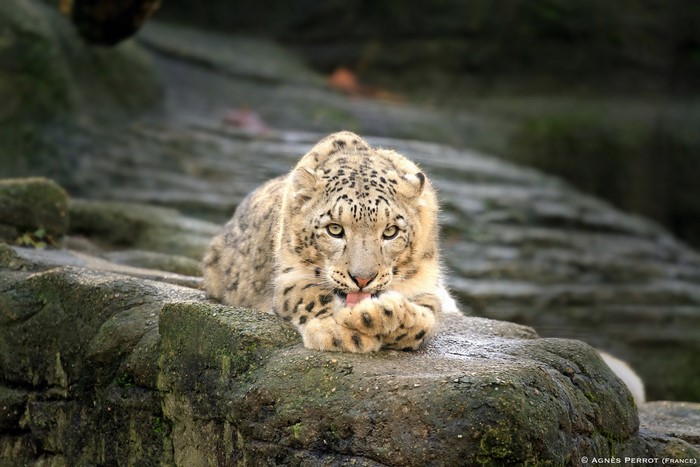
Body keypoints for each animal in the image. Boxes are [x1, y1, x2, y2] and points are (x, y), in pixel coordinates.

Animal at [202, 131, 458, 352]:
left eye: (390, 231)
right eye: (334, 229)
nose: (363, 279)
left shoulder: (425, 284)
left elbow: (425, 319)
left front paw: (377, 315)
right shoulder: (288, 276)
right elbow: (310, 294)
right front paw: (338, 332)